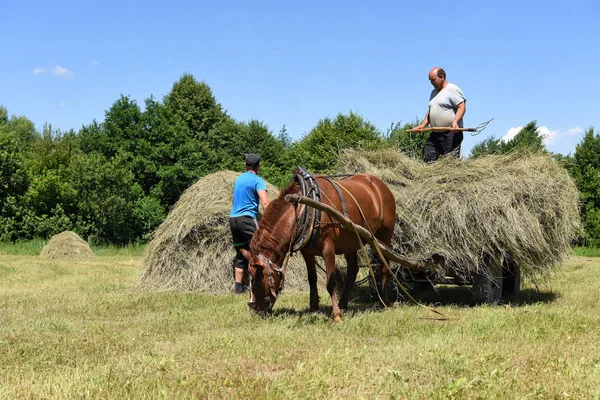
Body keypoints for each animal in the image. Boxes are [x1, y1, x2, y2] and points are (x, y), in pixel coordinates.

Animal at [246, 173, 396, 324]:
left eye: (258, 280)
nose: (254, 307)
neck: (305, 208)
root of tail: (380, 185)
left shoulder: (328, 249)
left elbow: (331, 282)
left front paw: (336, 316)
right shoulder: (307, 252)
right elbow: (312, 278)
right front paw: (313, 306)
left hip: (384, 237)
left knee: (384, 267)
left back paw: (385, 302)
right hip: (351, 241)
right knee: (353, 270)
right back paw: (343, 303)